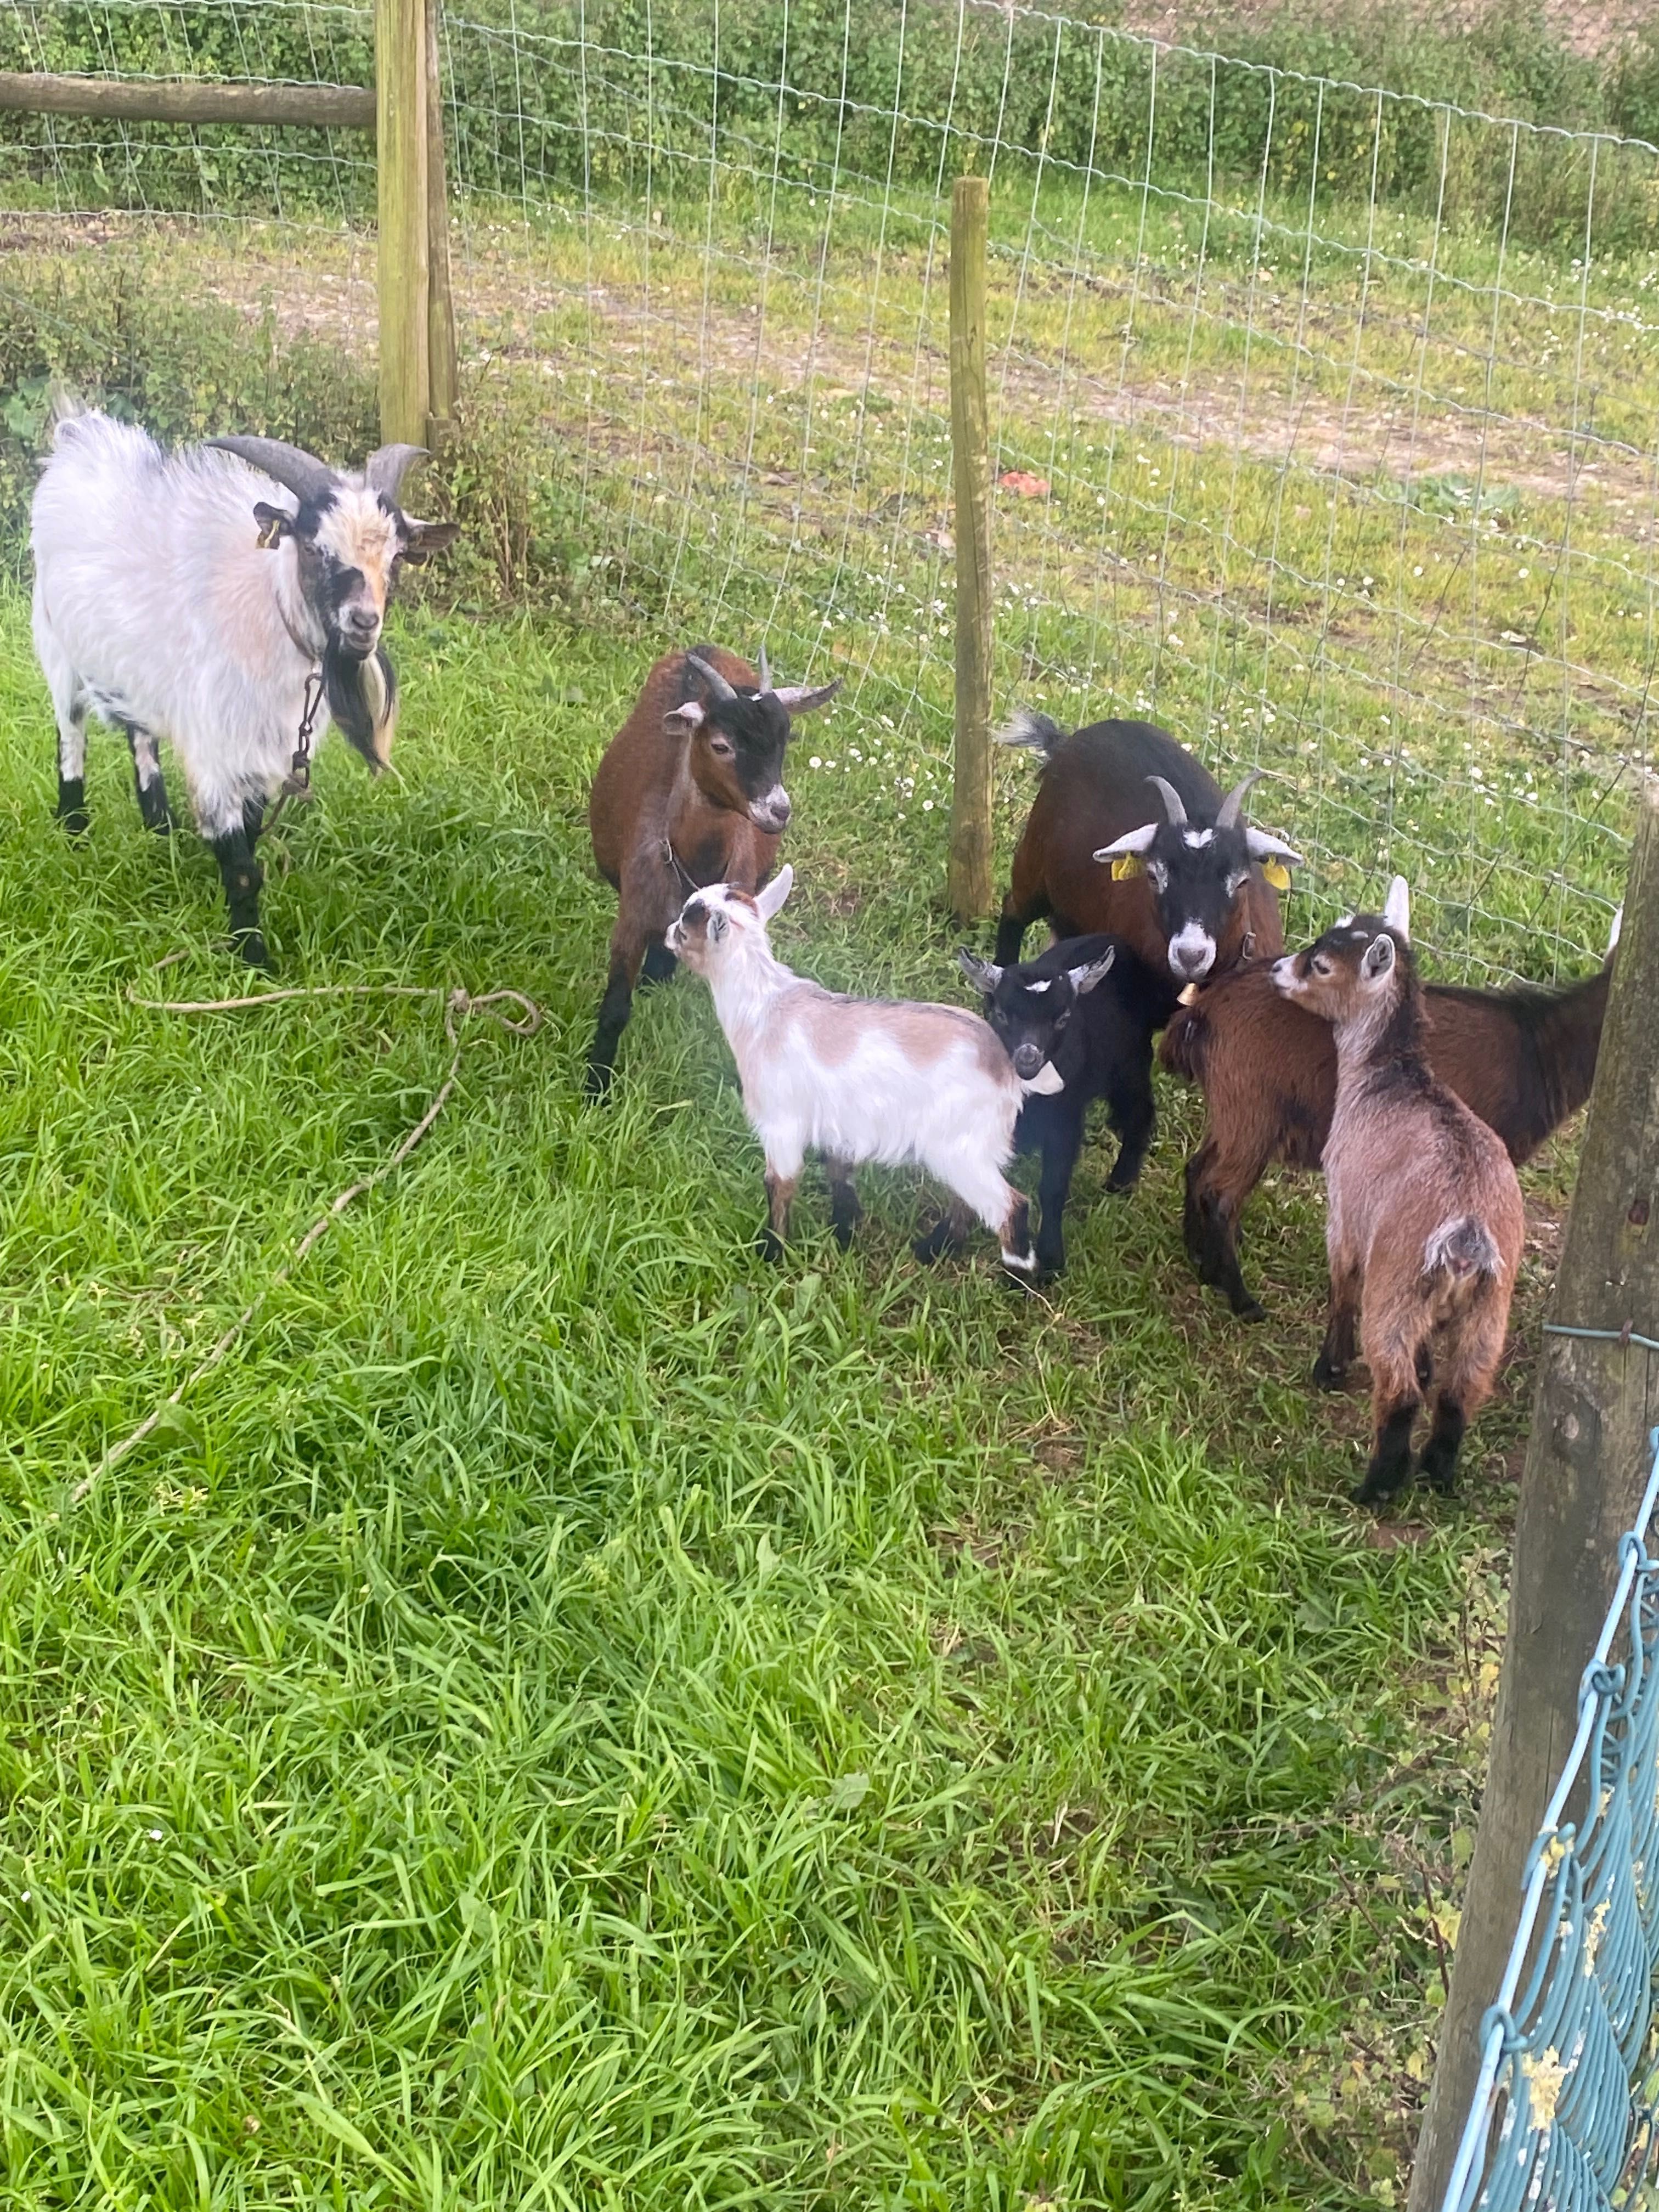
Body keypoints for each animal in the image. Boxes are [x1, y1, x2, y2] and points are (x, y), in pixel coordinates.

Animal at [32, 411, 458, 964]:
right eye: (314, 548)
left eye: (397, 558)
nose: (364, 623)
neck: (270, 611)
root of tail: (79, 439)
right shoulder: (218, 749)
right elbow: (240, 866)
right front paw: (254, 959)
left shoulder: (263, 750)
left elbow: (253, 836)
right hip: (57, 647)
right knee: (71, 736)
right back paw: (74, 829)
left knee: (141, 737)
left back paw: (161, 827)